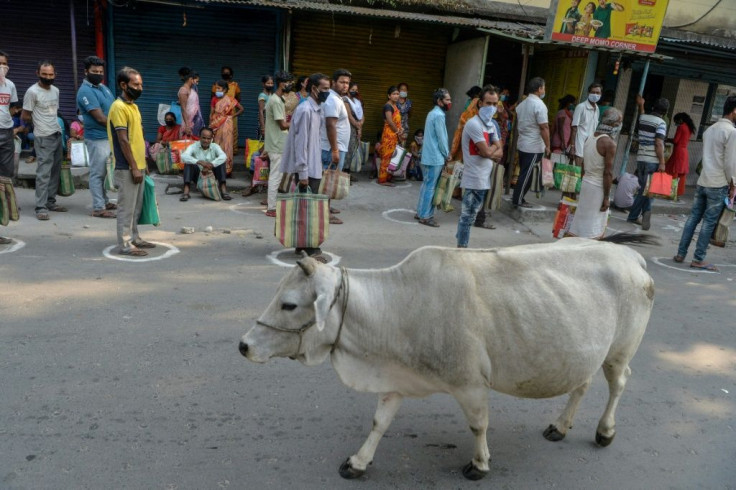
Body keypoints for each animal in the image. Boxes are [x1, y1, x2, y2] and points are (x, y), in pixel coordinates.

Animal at [242, 239, 656, 480]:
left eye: (289, 304)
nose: (244, 346)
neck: (400, 307)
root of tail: (632, 255)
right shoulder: (395, 379)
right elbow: (379, 422)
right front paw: (358, 462)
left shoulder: (470, 384)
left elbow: (478, 425)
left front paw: (480, 464)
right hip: (584, 352)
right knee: (581, 384)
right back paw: (560, 426)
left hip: (619, 351)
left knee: (618, 383)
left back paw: (605, 431)